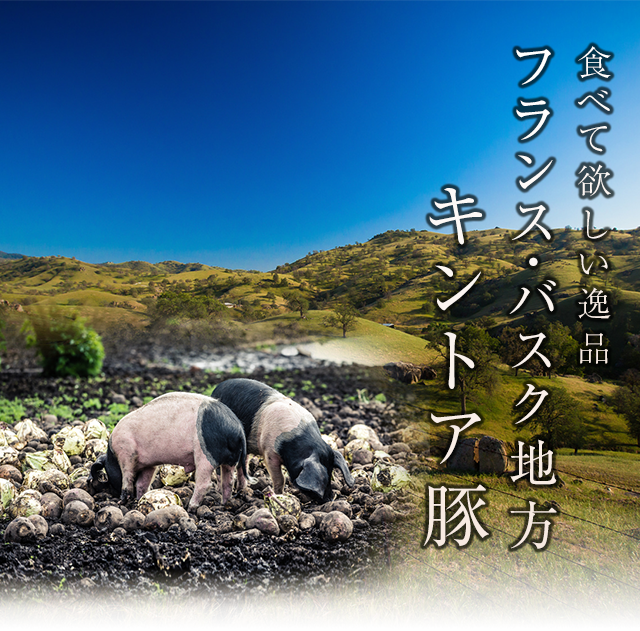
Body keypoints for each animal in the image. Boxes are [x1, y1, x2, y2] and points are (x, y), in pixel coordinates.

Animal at [89, 392, 248, 512]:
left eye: (107, 473)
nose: (113, 494)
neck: (113, 455)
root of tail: (238, 430)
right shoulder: (149, 464)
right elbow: (142, 483)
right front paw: (139, 499)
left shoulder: (126, 452)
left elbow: (127, 479)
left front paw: (121, 502)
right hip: (230, 460)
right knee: (228, 481)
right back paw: (224, 504)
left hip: (204, 455)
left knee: (204, 483)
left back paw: (190, 508)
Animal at [211, 380, 356, 504]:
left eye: (331, 473)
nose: (330, 498)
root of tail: (217, 388)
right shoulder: (269, 453)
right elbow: (281, 478)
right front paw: (281, 496)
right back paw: (219, 491)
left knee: (243, 464)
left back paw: (243, 490)